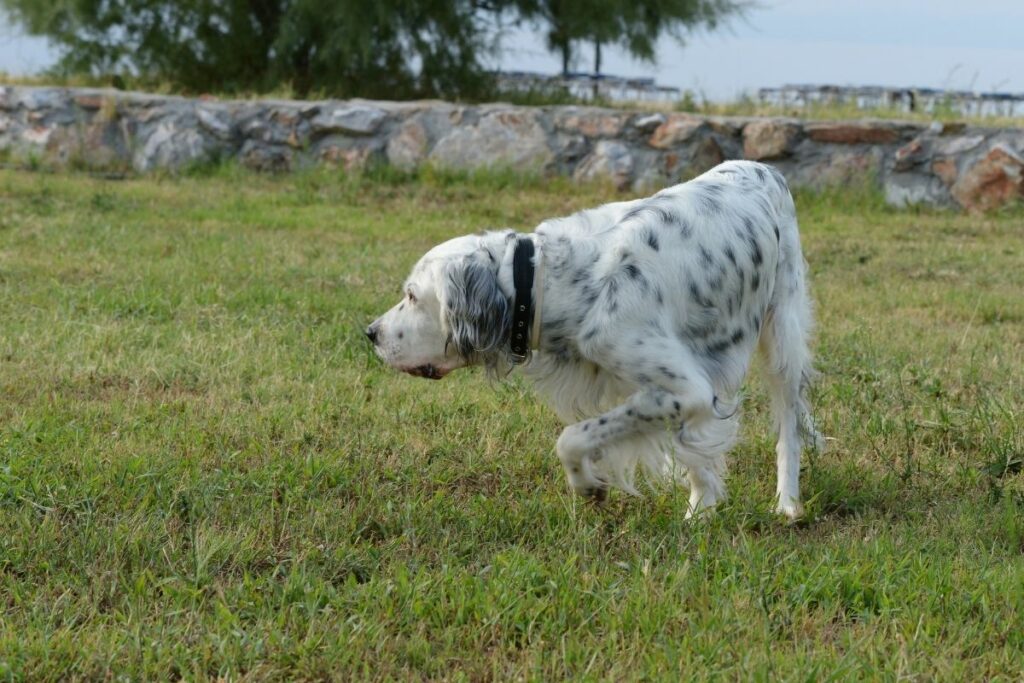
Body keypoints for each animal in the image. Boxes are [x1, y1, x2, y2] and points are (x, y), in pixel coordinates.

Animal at [368, 161, 823, 518]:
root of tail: (765, 169)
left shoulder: (686, 388)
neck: (555, 280)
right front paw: (702, 506)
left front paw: (589, 486)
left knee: (789, 425)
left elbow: (572, 437)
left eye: (413, 296)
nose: (369, 333)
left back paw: (787, 503)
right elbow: (695, 449)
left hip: (782, 334)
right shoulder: (680, 390)